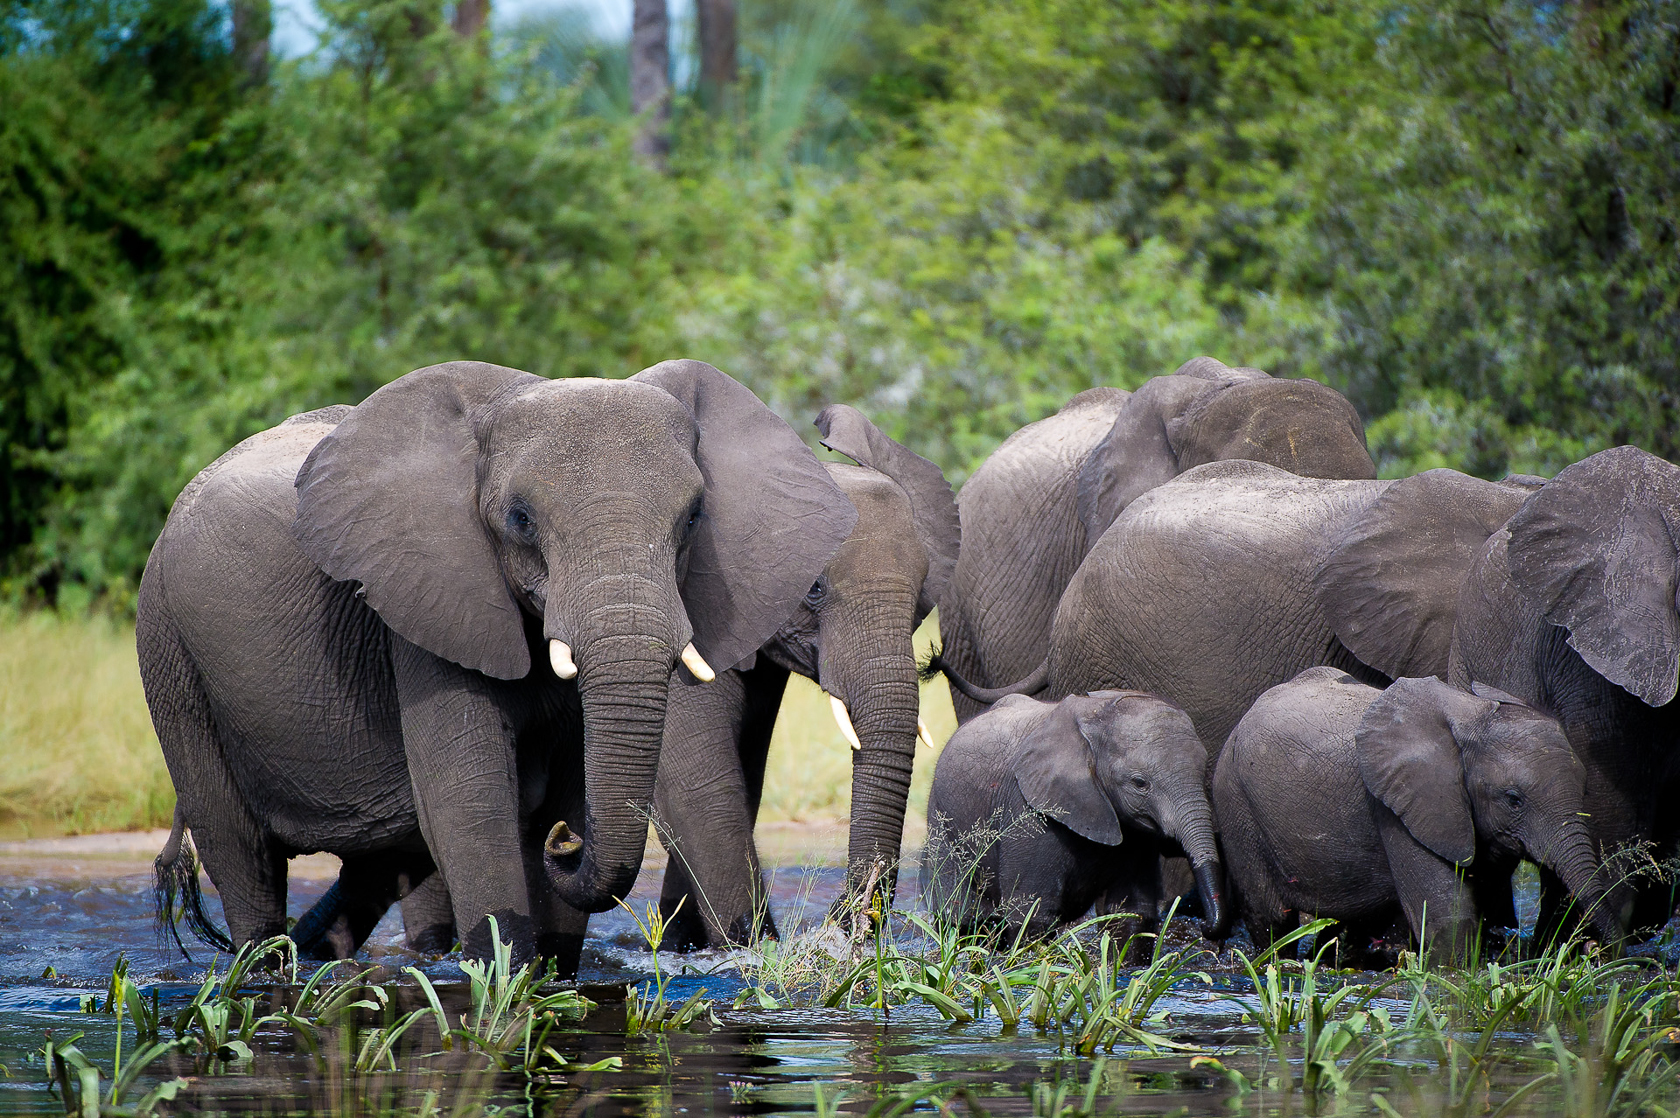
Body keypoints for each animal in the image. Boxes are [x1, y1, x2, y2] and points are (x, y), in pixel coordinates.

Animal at [139, 359, 858, 969]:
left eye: (694, 516)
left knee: (382, 862)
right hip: (169, 651)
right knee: (241, 852)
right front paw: (503, 982)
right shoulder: (425, 602)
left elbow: (563, 787)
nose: (566, 844)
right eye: (519, 519)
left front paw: (553, 975)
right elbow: (470, 803)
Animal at [922, 691, 1228, 939]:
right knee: (963, 918)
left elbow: (1131, 914)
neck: (1097, 717)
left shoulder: (1137, 837)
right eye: (1140, 783)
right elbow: (1031, 916)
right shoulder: (1031, 811)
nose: (1204, 927)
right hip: (941, 821)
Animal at [1215, 668, 1624, 962]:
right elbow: (1449, 916)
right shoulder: (1398, 808)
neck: (1473, 717)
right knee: (1272, 919)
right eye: (1513, 800)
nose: (1606, 953)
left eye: (1584, 792)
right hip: (1236, 802)